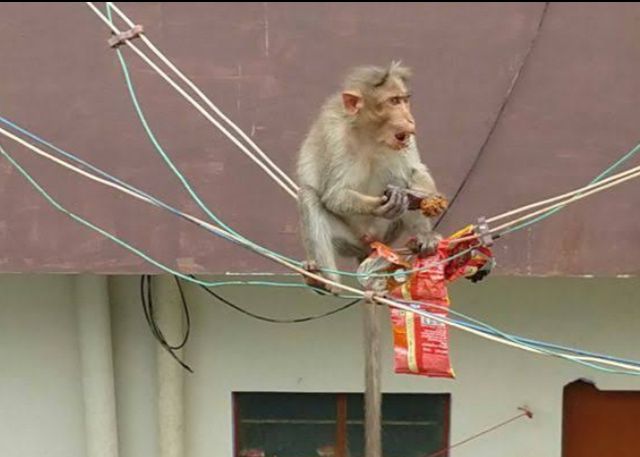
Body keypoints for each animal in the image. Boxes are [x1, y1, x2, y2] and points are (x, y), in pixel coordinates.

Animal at [296, 62, 442, 294]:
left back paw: (423, 236)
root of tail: (369, 244)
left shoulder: (405, 138)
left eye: (404, 100)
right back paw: (326, 281)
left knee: (402, 180)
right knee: (308, 197)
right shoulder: (334, 134)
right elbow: (334, 194)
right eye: (393, 101)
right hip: (349, 241)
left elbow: (415, 171)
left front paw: (427, 198)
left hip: (386, 235)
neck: (371, 135)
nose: (409, 119)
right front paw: (380, 206)